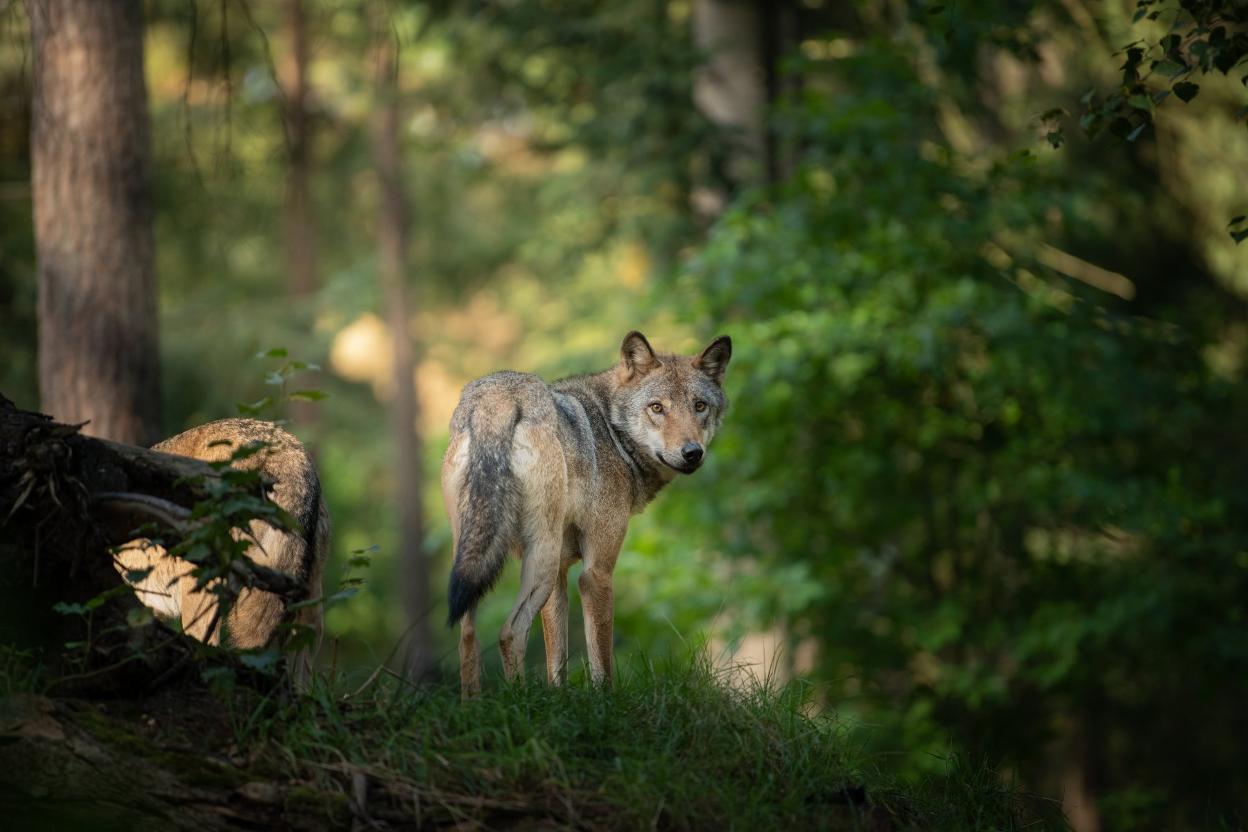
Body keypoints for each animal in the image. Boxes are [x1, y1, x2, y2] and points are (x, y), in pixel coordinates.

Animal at [444, 331, 728, 698]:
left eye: (700, 406)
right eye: (657, 408)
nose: (692, 453)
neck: (612, 431)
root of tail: (498, 398)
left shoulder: (561, 576)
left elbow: (558, 661)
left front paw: (558, 699)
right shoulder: (595, 573)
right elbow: (601, 661)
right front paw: (605, 703)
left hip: (477, 560)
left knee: (467, 636)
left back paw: (473, 705)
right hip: (541, 560)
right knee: (509, 632)